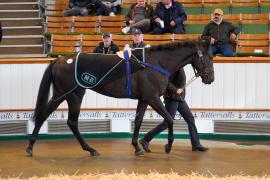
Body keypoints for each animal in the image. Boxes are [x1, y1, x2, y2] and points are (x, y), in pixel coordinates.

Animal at [25, 40, 215, 157]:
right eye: (210, 57)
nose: (210, 79)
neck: (155, 63)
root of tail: (59, 60)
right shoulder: (153, 98)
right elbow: (169, 119)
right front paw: (168, 146)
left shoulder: (144, 99)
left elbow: (138, 121)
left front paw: (137, 147)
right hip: (71, 95)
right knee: (66, 121)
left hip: (64, 95)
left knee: (52, 117)